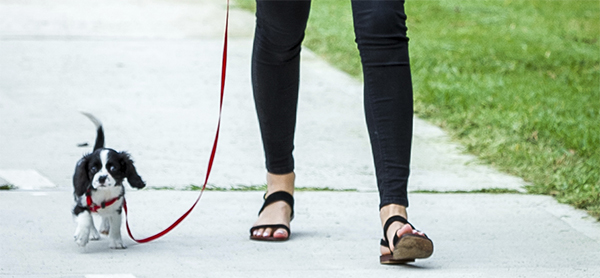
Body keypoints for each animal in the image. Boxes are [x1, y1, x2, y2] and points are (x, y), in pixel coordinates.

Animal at [72, 113, 145, 250]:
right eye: (93, 169)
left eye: (113, 168)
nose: (101, 178)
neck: (103, 193)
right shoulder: (79, 204)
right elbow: (86, 217)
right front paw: (82, 236)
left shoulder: (117, 207)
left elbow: (115, 225)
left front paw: (116, 242)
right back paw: (93, 233)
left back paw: (105, 226)